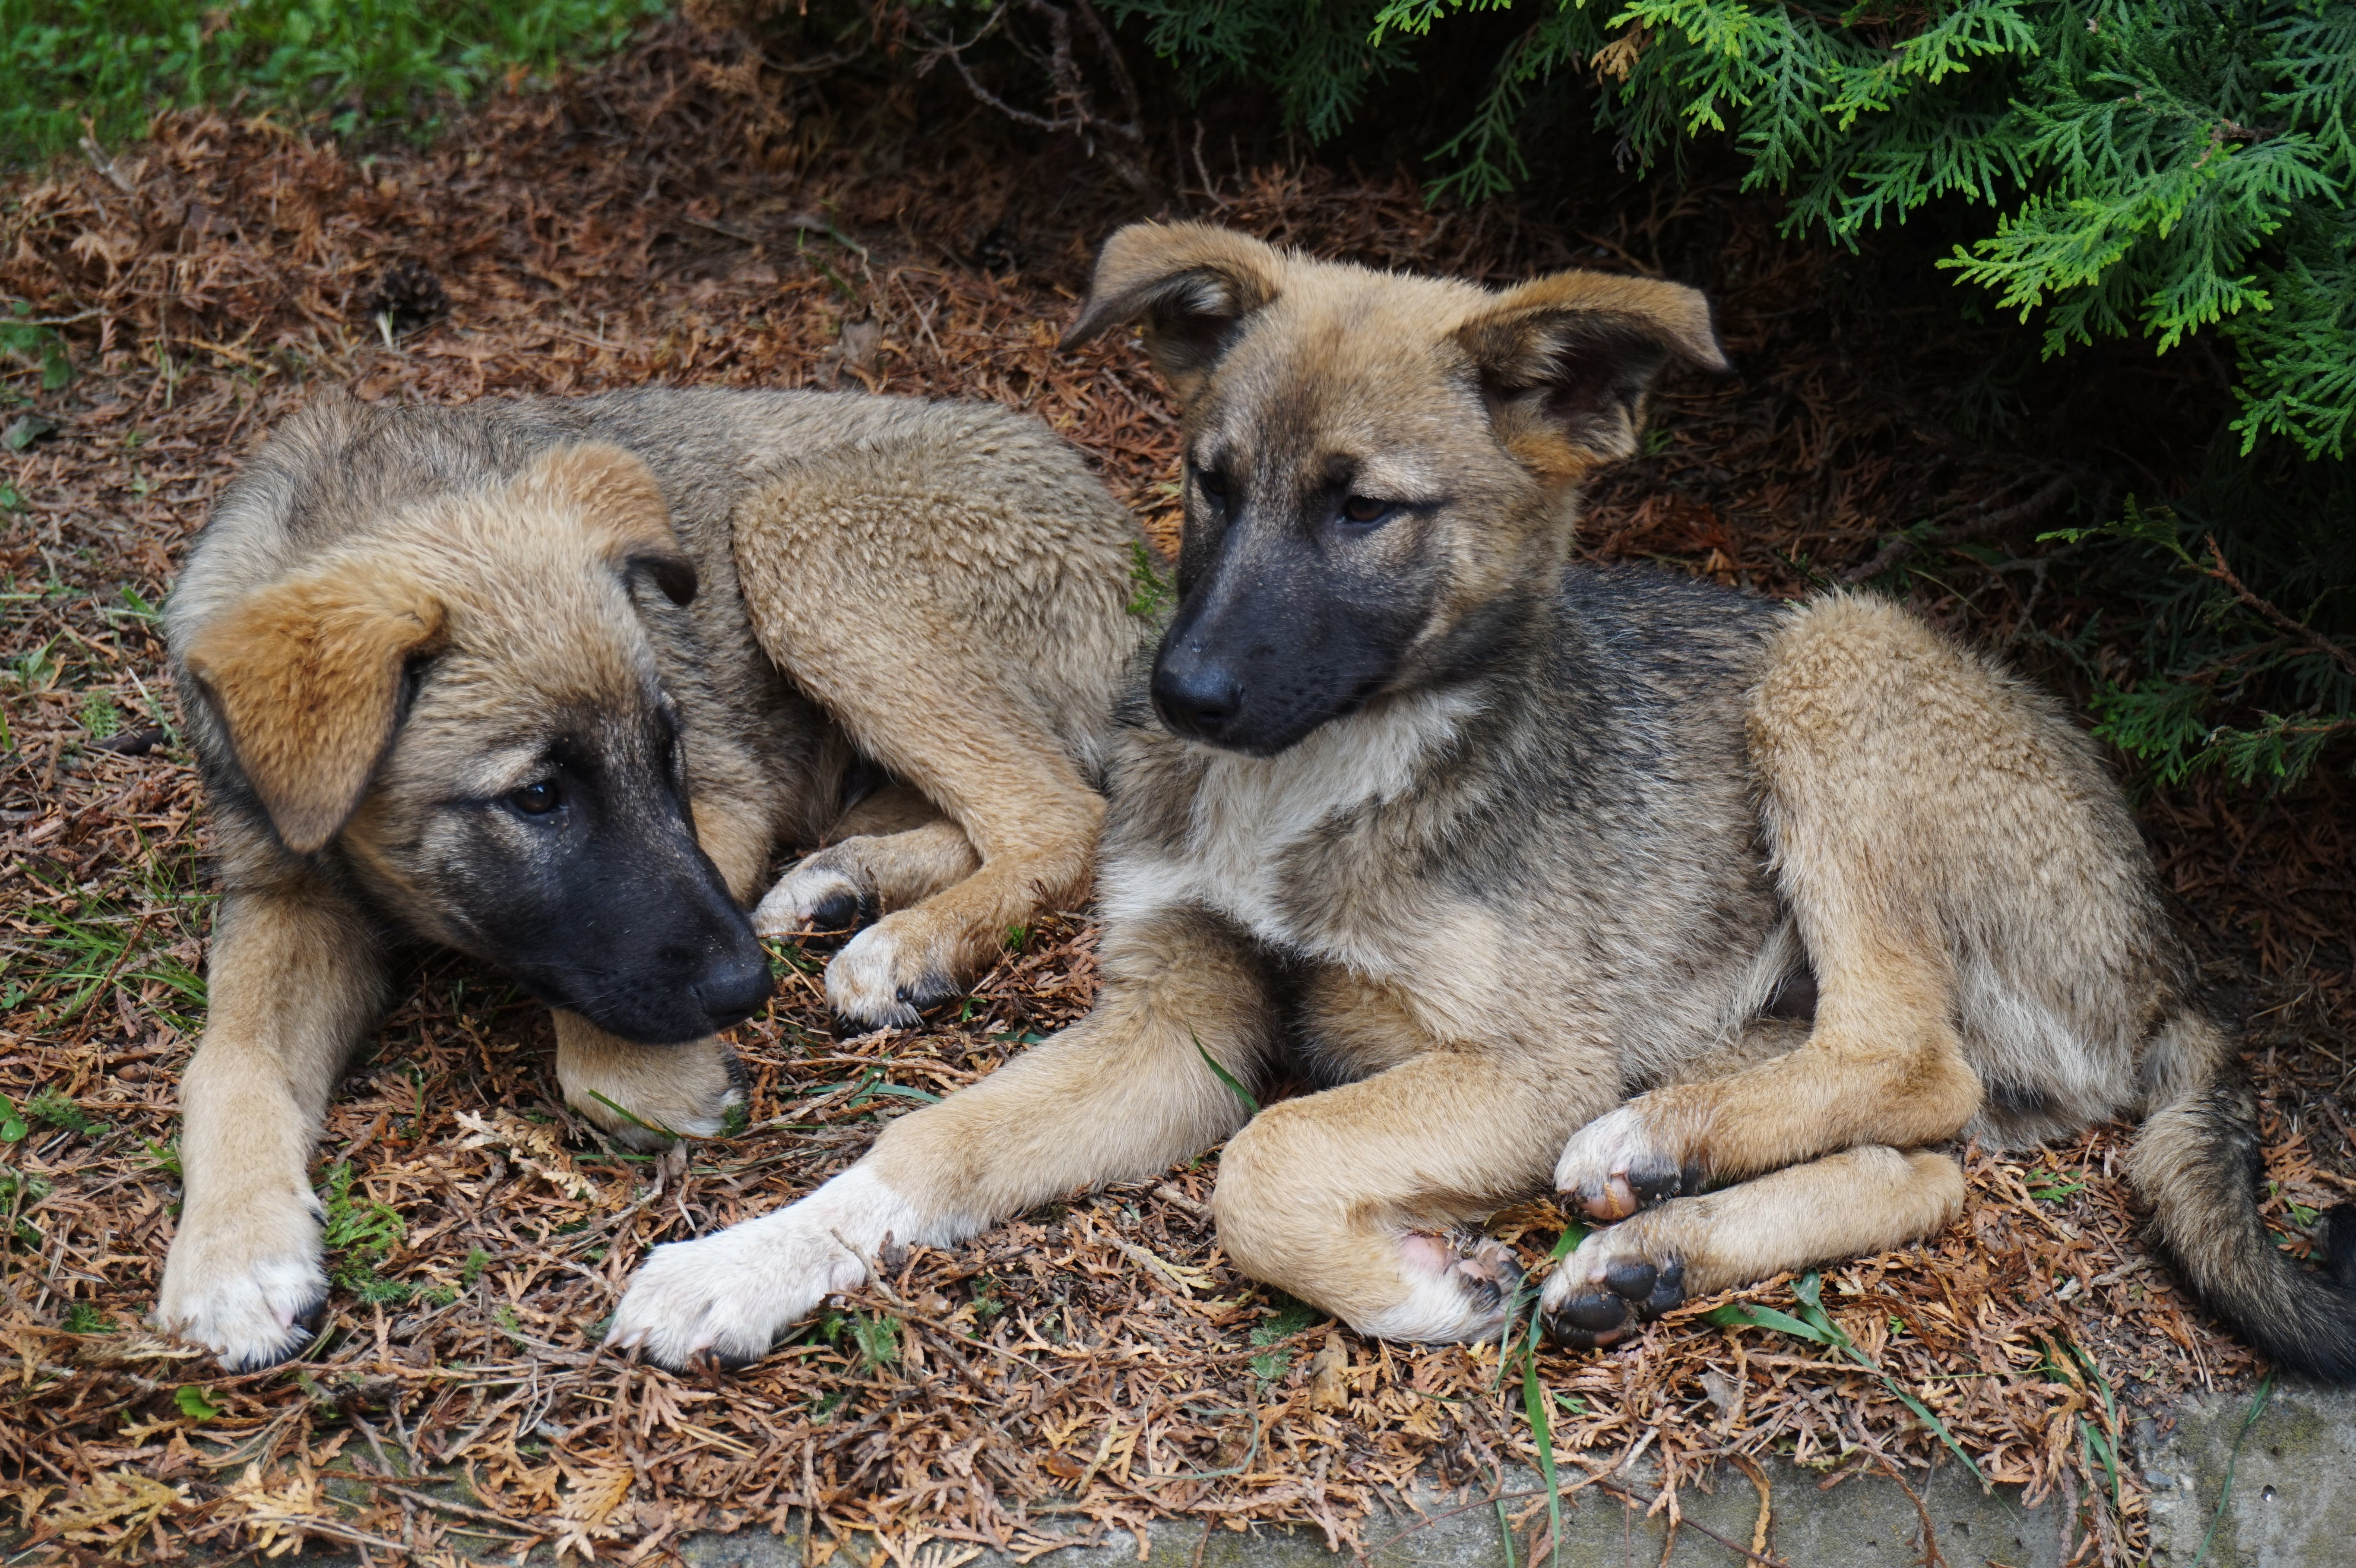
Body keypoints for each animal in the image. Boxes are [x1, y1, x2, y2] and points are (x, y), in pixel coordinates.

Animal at [159, 383, 1150, 1366]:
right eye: (538, 795)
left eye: (664, 748)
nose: (750, 987)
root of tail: (1133, 557)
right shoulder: (282, 891)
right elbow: (230, 1058)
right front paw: (233, 1253)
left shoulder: (725, 798)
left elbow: (608, 1022)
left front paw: (651, 1074)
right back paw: (842, 884)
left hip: (793, 533)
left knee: (1059, 812)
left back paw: (909, 943)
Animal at [612, 226, 2356, 1375]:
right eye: (1209, 481)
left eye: (1367, 510)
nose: (1173, 702)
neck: (1326, 777)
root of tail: (2164, 955)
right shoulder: (1170, 1023)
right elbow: (935, 1144)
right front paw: (743, 1263)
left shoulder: (1524, 1061)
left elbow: (1271, 1158)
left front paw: (1414, 1289)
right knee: (1921, 1165)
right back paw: (1647, 1251)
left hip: (1837, 667)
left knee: (1906, 1063)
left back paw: (1653, 1157)